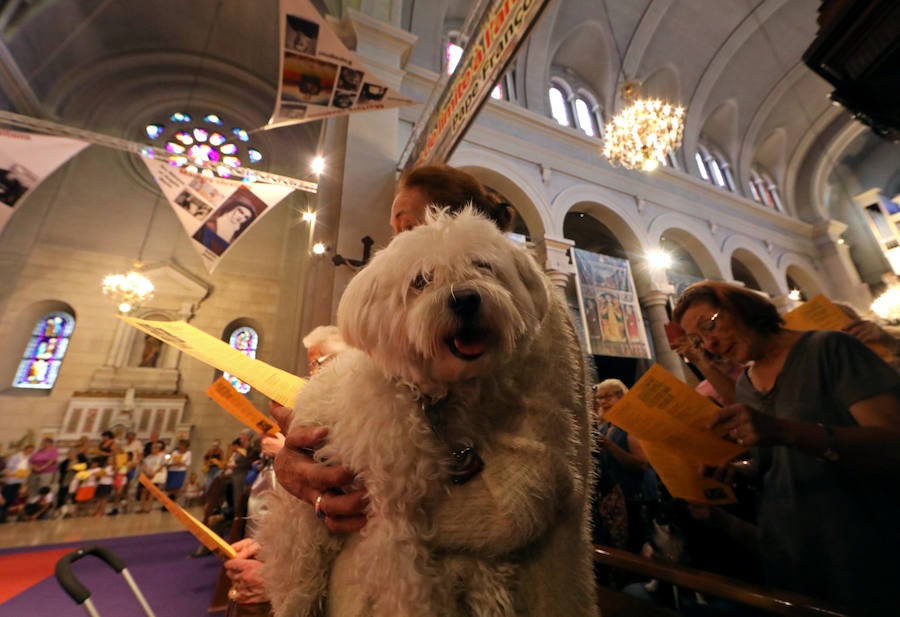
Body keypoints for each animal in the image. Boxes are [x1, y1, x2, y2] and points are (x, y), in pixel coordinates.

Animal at [258, 208, 596, 616]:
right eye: (421, 280)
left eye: (481, 265)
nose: (465, 299)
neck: (429, 395)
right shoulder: (393, 518)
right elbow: (412, 591)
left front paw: (490, 595)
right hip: (301, 538)